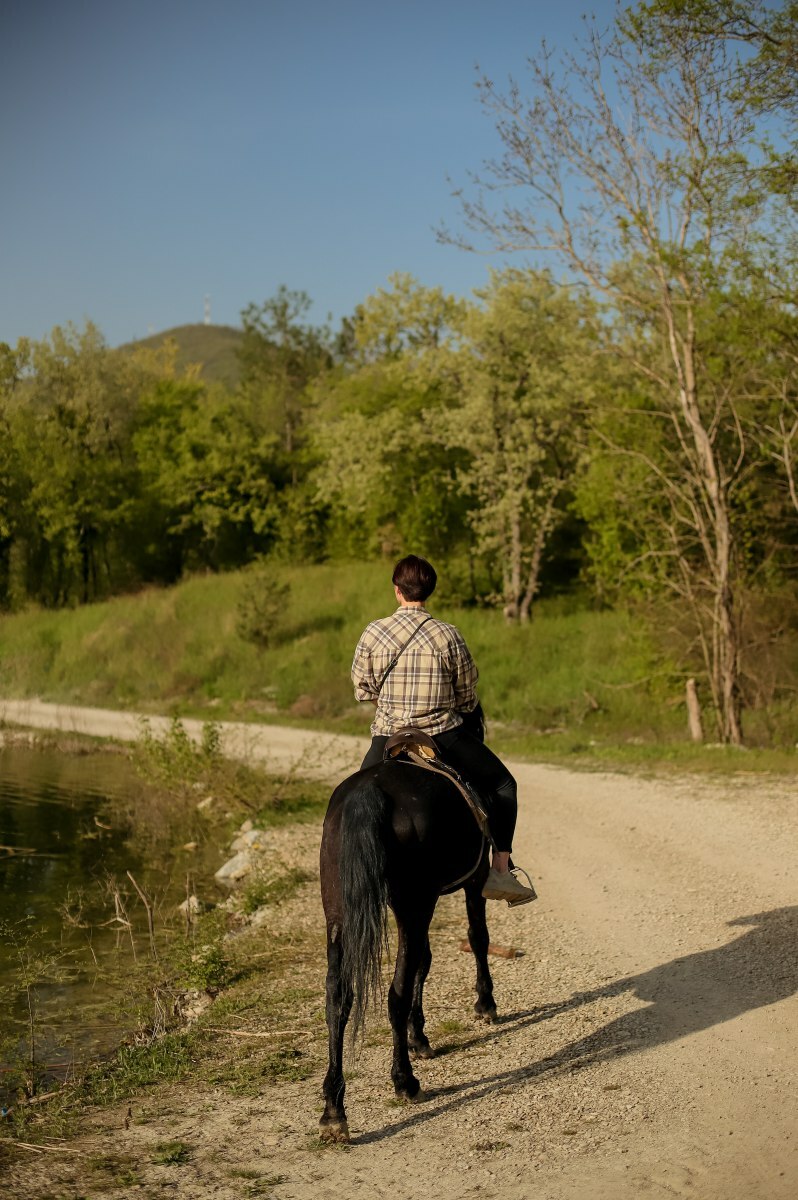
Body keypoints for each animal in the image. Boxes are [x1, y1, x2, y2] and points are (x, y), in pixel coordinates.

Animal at [316, 758, 492, 1142]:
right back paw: (406, 1082)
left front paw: (419, 1036)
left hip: (339, 911)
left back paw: (334, 1112)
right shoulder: (475, 878)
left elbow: (423, 962)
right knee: (396, 991)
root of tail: (371, 789)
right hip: (415, 903)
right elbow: (476, 937)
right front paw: (485, 1004)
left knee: (338, 997)